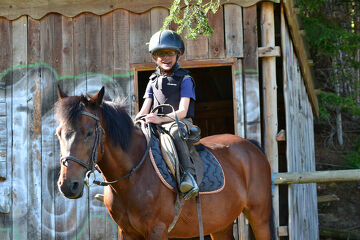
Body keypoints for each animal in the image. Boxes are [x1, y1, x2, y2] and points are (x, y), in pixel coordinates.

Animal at [54, 86, 274, 240]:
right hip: (221, 224)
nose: (68, 185)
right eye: (59, 133)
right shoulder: (126, 232)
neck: (132, 176)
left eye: (89, 133)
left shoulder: (157, 229)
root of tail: (251, 146)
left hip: (260, 217)